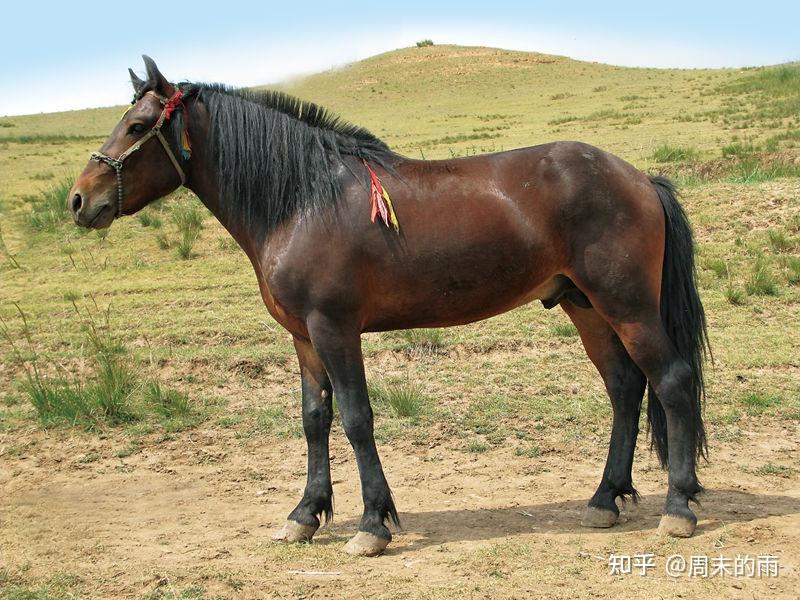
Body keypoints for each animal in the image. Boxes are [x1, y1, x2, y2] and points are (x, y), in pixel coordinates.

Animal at [68, 56, 709, 557]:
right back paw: (605, 499)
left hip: (626, 305)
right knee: (625, 387)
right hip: (585, 306)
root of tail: (640, 179)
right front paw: (305, 515)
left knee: (671, 381)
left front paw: (372, 523)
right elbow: (314, 419)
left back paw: (677, 507)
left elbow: (356, 418)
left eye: (138, 125)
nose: (78, 200)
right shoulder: (303, 337)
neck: (304, 200)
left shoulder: (334, 328)